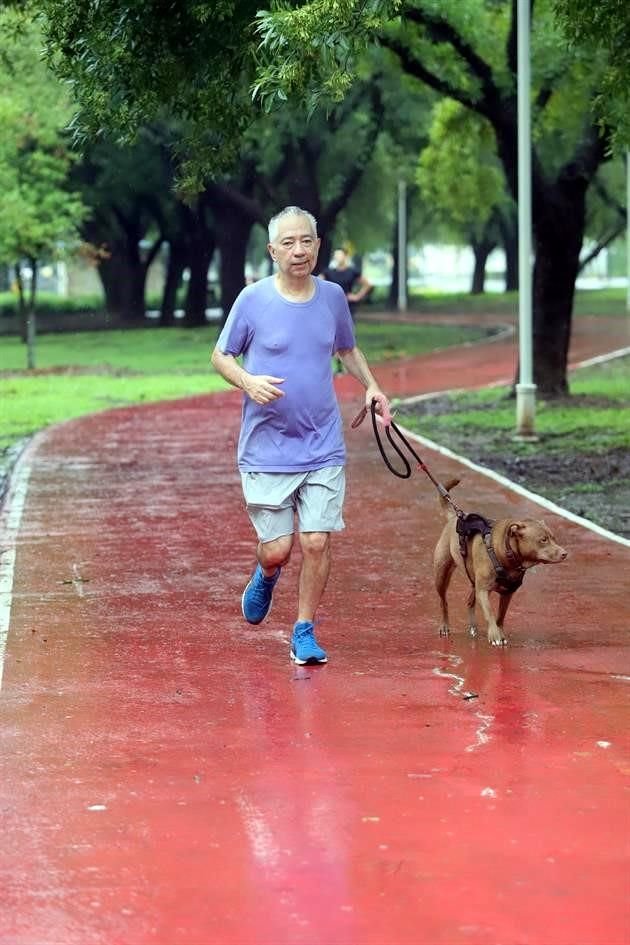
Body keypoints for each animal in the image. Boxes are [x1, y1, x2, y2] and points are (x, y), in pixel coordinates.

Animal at [436, 476, 572, 644]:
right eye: (543, 540)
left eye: (554, 538)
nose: (565, 553)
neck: (507, 554)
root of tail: (454, 517)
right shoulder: (483, 590)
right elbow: (489, 613)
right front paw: (494, 635)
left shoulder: (507, 593)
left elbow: (501, 616)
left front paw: (500, 632)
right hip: (442, 575)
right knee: (443, 601)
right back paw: (444, 626)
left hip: (473, 581)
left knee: (469, 601)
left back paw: (473, 627)